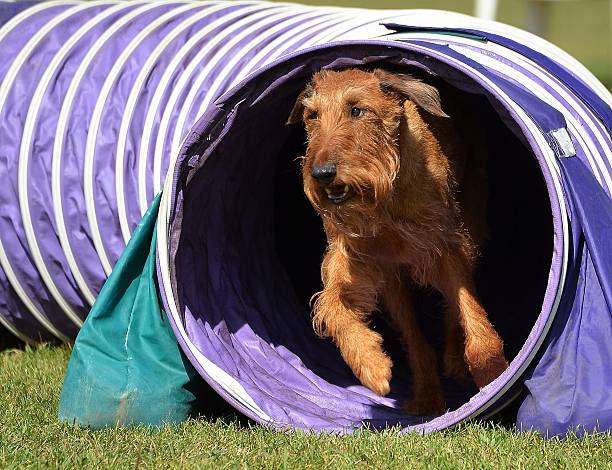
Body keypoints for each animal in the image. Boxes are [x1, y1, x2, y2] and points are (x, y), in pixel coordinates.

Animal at [290, 68, 510, 414]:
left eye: (356, 110)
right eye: (312, 115)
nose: (322, 173)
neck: (383, 199)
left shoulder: (444, 245)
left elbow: (471, 314)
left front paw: (493, 374)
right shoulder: (352, 255)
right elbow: (333, 304)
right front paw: (370, 362)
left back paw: (454, 361)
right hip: (393, 287)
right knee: (416, 339)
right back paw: (427, 398)